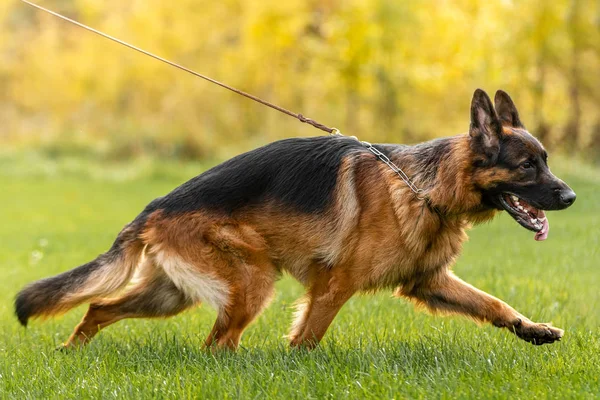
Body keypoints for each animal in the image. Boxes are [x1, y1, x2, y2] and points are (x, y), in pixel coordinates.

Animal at [15, 90, 576, 350]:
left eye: (546, 160)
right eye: (528, 166)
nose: (570, 195)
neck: (422, 185)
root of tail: (153, 207)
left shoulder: (429, 281)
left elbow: (493, 303)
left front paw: (532, 330)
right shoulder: (334, 286)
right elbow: (306, 339)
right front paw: (293, 364)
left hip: (170, 294)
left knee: (98, 308)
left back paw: (71, 351)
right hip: (252, 281)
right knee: (215, 345)